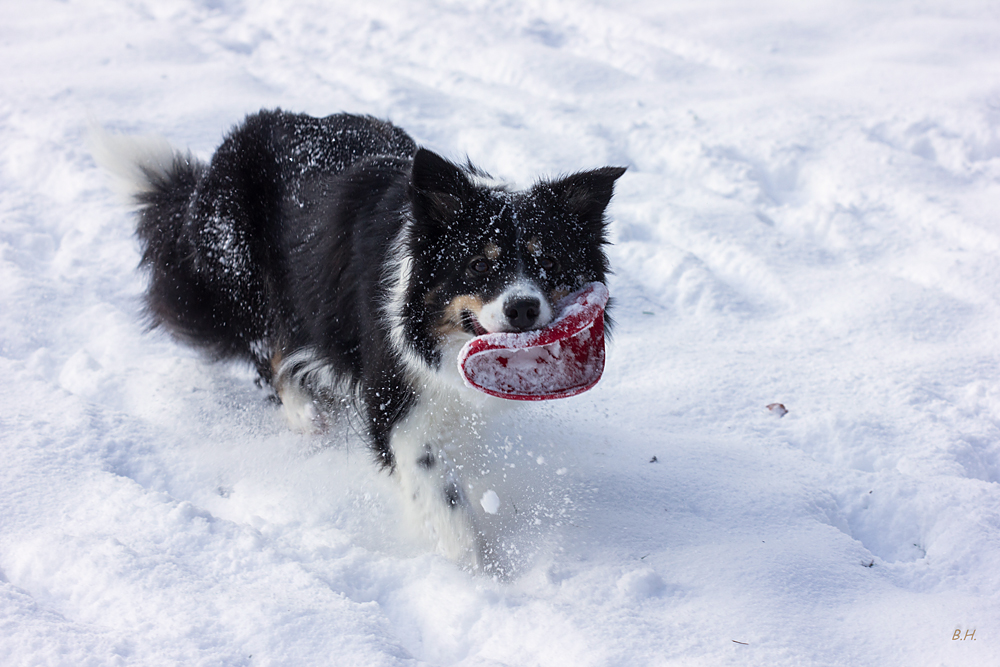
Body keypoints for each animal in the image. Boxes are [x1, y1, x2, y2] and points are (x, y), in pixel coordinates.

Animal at [94, 109, 624, 568]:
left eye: (548, 261)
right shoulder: (395, 397)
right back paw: (305, 412)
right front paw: (479, 573)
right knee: (269, 350)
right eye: (478, 264)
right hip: (239, 271)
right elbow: (440, 493)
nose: (523, 307)